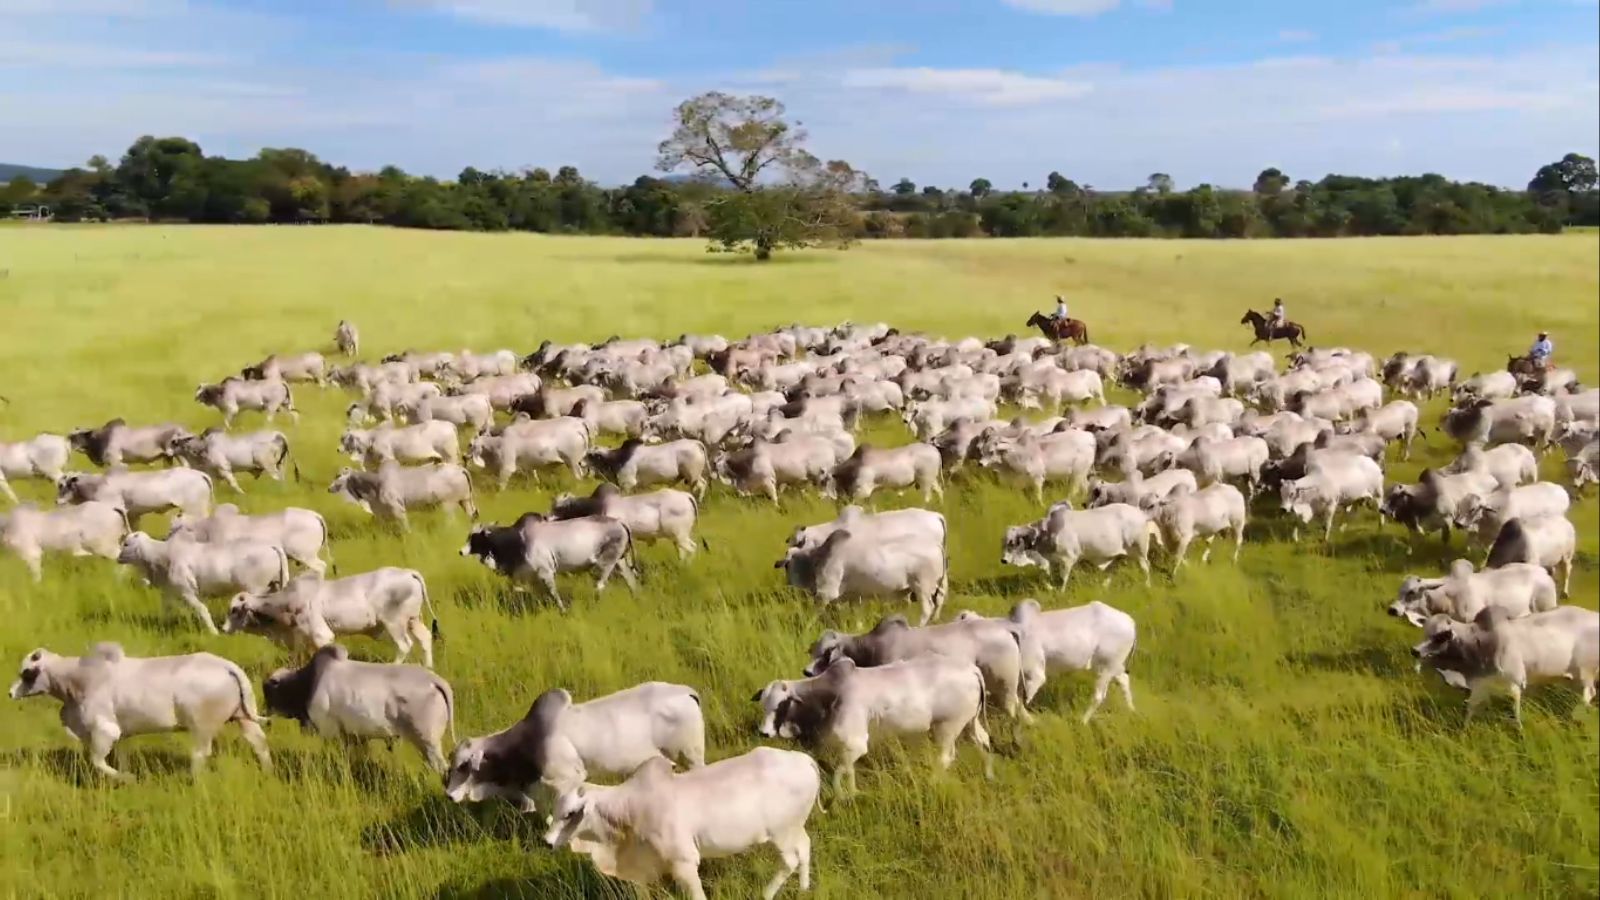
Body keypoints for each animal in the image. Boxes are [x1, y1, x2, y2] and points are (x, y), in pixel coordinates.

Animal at [7, 640, 268, 775]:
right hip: (244, 717)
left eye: (26, 673)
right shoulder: (120, 733)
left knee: (200, 754)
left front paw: (126, 779)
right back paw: (268, 772)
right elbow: (120, 755)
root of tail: (226, 665)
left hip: (202, 726)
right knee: (259, 743)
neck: (77, 680)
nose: (10, 693)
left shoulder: (105, 729)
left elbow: (98, 762)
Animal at [225, 566, 438, 666]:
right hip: (413, 620)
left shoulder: (321, 635)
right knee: (425, 638)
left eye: (234, 609)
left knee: (404, 645)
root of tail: (408, 573)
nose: (223, 628)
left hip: (394, 623)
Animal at [260, 643, 451, 771]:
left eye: (268, 690)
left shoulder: (330, 730)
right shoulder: (352, 736)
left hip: (428, 743)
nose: (264, 716)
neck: (308, 683)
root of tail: (434, 680)